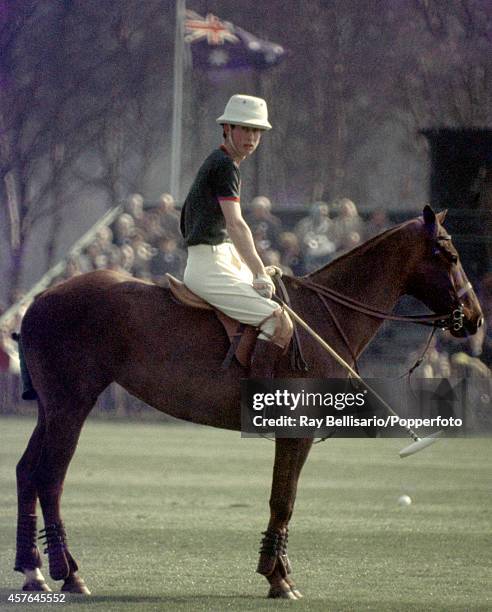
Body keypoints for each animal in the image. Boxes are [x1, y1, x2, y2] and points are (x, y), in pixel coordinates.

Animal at [13, 206, 482, 596]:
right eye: (449, 255)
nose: (476, 319)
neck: (322, 317)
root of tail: (35, 302)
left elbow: (285, 500)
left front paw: (280, 573)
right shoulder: (295, 429)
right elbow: (283, 499)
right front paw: (278, 579)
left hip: (50, 407)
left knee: (26, 472)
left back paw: (33, 570)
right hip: (72, 404)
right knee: (50, 478)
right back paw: (69, 573)